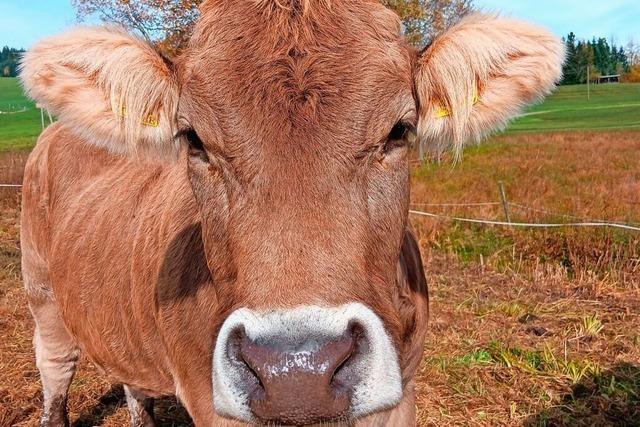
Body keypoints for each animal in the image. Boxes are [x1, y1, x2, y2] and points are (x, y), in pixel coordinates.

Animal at [17, 1, 564, 426]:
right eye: (193, 138)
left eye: (399, 130)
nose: (298, 371)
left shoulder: (402, 391)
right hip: (42, 293)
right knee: (56, 370)